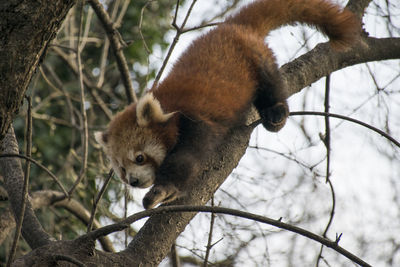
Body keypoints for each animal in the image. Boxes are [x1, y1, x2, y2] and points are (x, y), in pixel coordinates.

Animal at [96, 0, 360, 209]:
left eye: (139, 158)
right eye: (121, 169)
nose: (133, 181)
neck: (168, 106)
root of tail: (231, 25)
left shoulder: (195, 122)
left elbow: (185, 160)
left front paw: (162, 191)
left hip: (253, 56)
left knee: (270, 83)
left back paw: (276, 111)